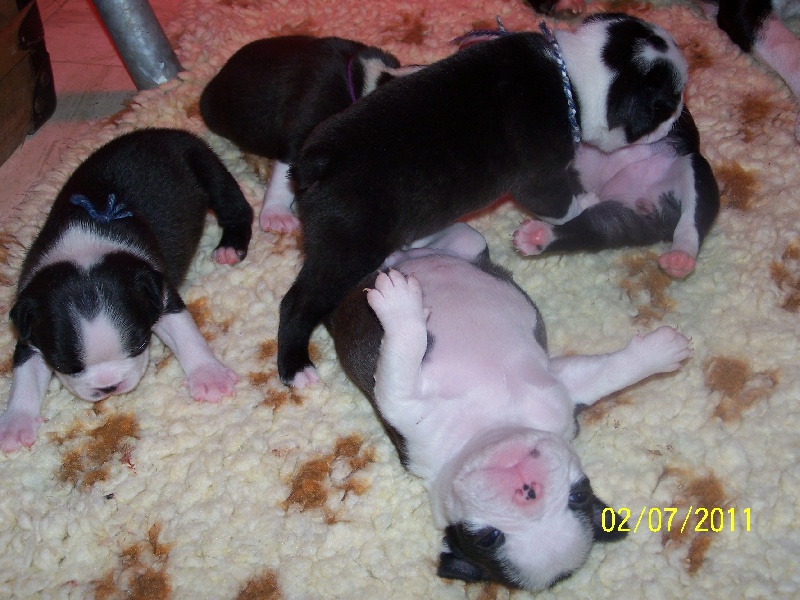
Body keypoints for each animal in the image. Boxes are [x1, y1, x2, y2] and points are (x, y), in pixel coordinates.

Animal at [0, 128, 254, 452]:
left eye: (140, 344)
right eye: (63, 365)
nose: (108, 386)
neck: (85, 242)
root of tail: (162, 131)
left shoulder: (158, 294)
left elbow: (186, 334)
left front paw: (210, 377)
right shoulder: (30, 322)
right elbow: (25, 374)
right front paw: (15, 424)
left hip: (204, 162)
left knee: (233, 203)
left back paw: (230, 247)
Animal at [277, 13, 688, 386]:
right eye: (665, 104)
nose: (681, 117)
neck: (569, 77)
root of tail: (316, 161)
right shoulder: (541, 178)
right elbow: (563, 204)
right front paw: (587, 202)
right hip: (348, 249)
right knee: (297, 302)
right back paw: (297, 368)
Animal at [327, 223, 691, 590]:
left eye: (577, 496)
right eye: (488, 539)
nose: (529, 490)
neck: (491, 424)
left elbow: (608, 374)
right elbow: (606, 375)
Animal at [513, 106, 720, 278]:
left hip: (692, 169)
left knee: (693, 218)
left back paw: (679, 256)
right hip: (621, 219)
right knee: (590, 229)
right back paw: (539, 235)